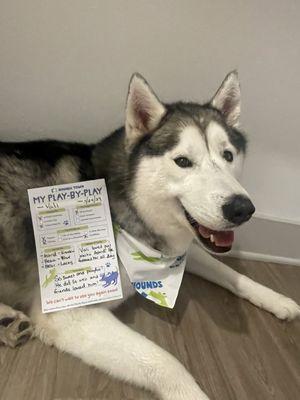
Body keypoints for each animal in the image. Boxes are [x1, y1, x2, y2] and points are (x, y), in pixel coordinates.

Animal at [0, 72, 298, 400]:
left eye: (228, 155)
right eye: (183, 161)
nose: (242, 209)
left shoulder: (179, 248)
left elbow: (229, 272)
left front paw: (276, 298)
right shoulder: (68, 312)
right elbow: (164, 361)